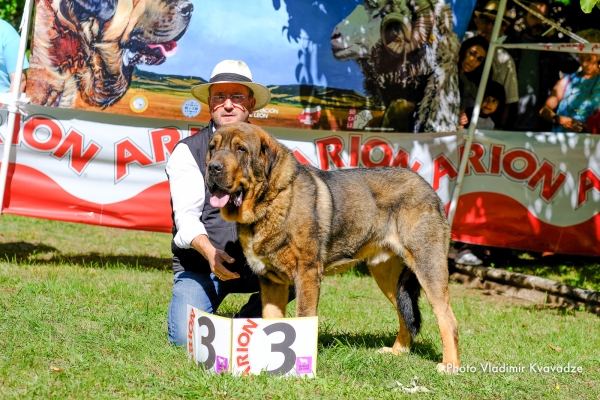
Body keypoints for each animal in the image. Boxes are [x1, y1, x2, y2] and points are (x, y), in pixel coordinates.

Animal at [205, 122, 460, 372]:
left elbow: (303, 319)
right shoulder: (271, 280)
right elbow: (272, 321)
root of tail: (431, 190)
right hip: (388, 276)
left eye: (241, 149)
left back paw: (449, 364)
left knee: (447, 318)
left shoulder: (306, 275)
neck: (272, 199)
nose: (213, 167)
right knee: (404, 313)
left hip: (428, 267)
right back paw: (397, 351)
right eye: (212, 148)